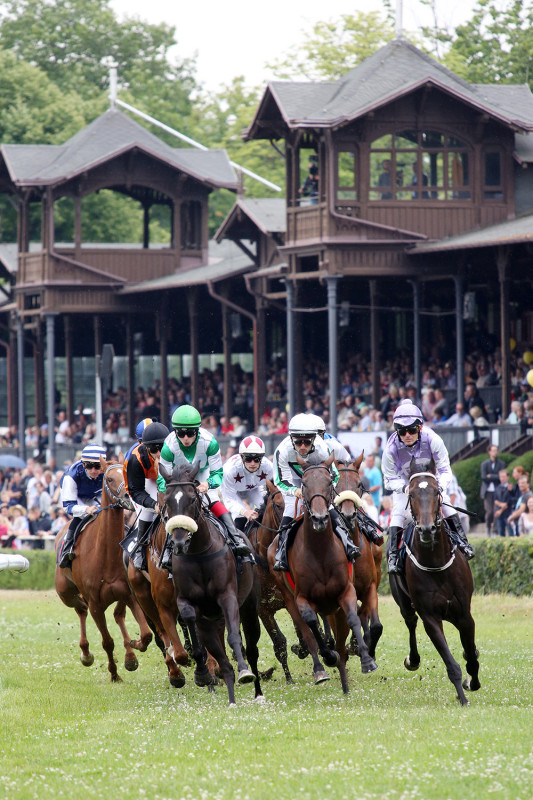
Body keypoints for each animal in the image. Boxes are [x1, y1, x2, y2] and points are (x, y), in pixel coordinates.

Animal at [54, 462, 152, 680]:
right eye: (109, 479)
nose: (128, 497)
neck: (105, 555)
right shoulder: (96, 605)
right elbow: (107, 642)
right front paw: (114, 674)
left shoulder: (129, 594)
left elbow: (146, 634)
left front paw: (132, 653)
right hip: (65, 593)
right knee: (81, 609)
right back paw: (86, 653)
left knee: (118, 615)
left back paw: (129, 655)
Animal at [161, 460, 262, 704]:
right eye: (167, 501)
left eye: (192, 498)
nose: (179, 542)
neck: (198, 553)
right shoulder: (186, 601)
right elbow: (191, 624)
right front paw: (202, 674)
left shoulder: (228, 597)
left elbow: (235, 637)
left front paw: (244, 671)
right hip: (211, 621)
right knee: (222, 661)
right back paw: (231, 699)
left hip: (249, 606)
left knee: (252, 648)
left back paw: (257, 692)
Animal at [268, 456, 376, 692]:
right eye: (304, 484)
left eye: (329, 482)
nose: (319, 519)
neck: (320, 551)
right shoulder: (301, 598)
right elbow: (311, 625)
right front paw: (328, 656)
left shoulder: (349, 590)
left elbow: (355, 618)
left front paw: (366, 659)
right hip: (289, 597)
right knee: (308, 630)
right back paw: (321, 668)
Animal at [388, 456, 480, 708]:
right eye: (411, 494)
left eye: (437, 492)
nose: (427, 529)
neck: (436, 563)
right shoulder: (430, 617)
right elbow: (452, 664)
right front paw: (463, 697)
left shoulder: (464, 614)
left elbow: (470, 656)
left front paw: (472, 681)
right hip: (403, 602)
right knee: (410, 622)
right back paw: (413, 659)